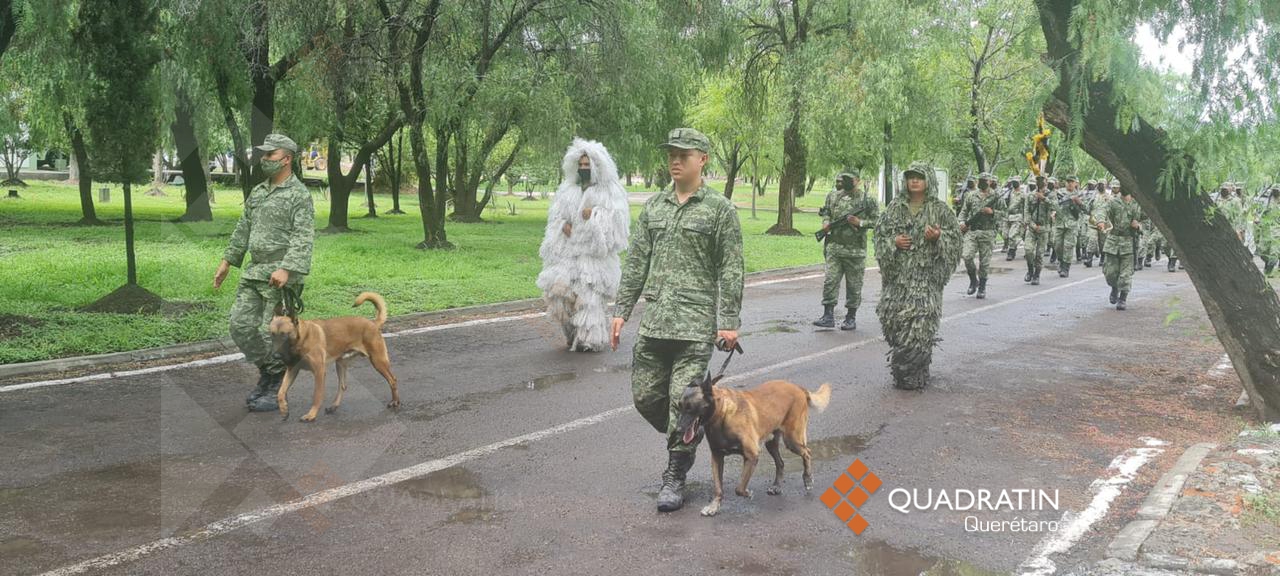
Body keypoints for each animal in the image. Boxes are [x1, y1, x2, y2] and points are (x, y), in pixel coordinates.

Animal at [273, 290, 399, 419]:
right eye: (272, 334)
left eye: (284, 335)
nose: (275, 356)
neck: (301, 339)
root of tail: (373, 323)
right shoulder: (292, 370)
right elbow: (280, 392)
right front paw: (284, 409)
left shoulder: (319, 372)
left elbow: (317, 395)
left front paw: (311, 415)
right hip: (340, 364)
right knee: (343, 386)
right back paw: (334, 406)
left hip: (378, 361)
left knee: (392, 380)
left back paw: (395, 401)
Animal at [675, 373, 834, 517]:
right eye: (679, 407)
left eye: (690, 407)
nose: (677, 430)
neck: (722, 415)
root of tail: (798, 388)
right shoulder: (717, 457)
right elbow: (718, 488)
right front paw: (714, 506)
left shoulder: (751, 455)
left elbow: (739, 488)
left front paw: (747, 493)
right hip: (771, 443)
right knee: (780, 463)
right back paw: (776, 486)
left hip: (792, 440)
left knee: (807, 452)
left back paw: (807, 479)